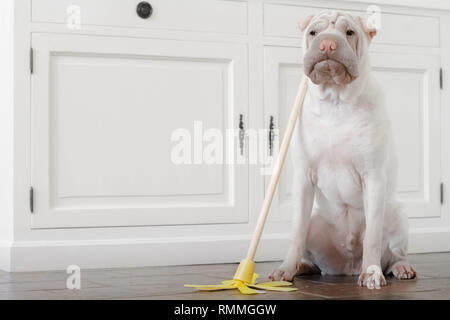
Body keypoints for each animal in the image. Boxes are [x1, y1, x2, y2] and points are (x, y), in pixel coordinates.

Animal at [268, 11, 416, 288]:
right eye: (313, 33)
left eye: (350, 33)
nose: (327, 44)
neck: (335, 101)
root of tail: (347, 267)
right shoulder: (303, 177)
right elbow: (295, 232)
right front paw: (285, 269)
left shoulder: (373, 177)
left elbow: (372, 236)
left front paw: (372, 273)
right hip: (316, 222)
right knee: (311, 253)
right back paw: (302, 267)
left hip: (398, 215)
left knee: (394, 253)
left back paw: (399, 267)